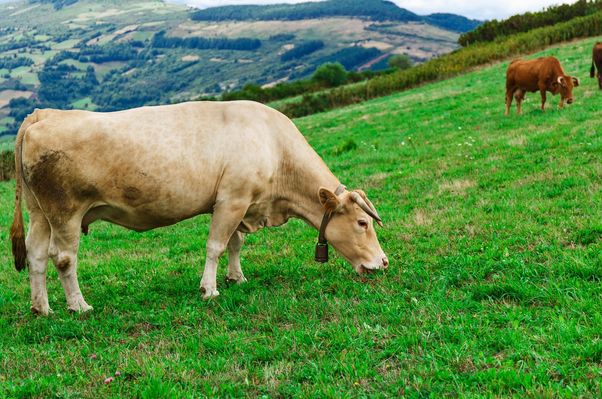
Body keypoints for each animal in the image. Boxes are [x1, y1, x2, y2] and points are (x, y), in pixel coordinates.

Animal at [10, 102, 390, 316]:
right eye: (362, 223)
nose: (384, 262)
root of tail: (42, 115)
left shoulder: (239, 203)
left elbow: (235, 243)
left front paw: (236, 277)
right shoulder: (232, 199)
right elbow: (216, 246)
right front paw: (209, 289)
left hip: (39, 213)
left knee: (37, 255)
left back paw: (42, 307)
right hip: (65, 211)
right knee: (64, 258)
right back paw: (79, 306)